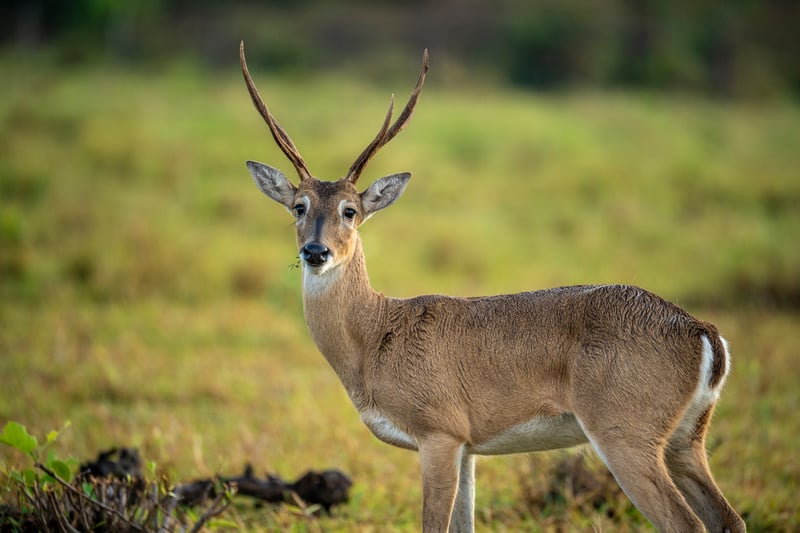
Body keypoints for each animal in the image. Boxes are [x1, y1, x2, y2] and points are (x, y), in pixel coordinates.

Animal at [238, 41, 746, 533]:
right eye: (299, 206)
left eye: (350, 210)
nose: (316, 252)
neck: (376, 334)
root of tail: (702, 332)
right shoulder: (468, 449)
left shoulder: (439, 435)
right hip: (685, 441)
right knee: (729, 518)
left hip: (626, 436)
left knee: (686, 523)